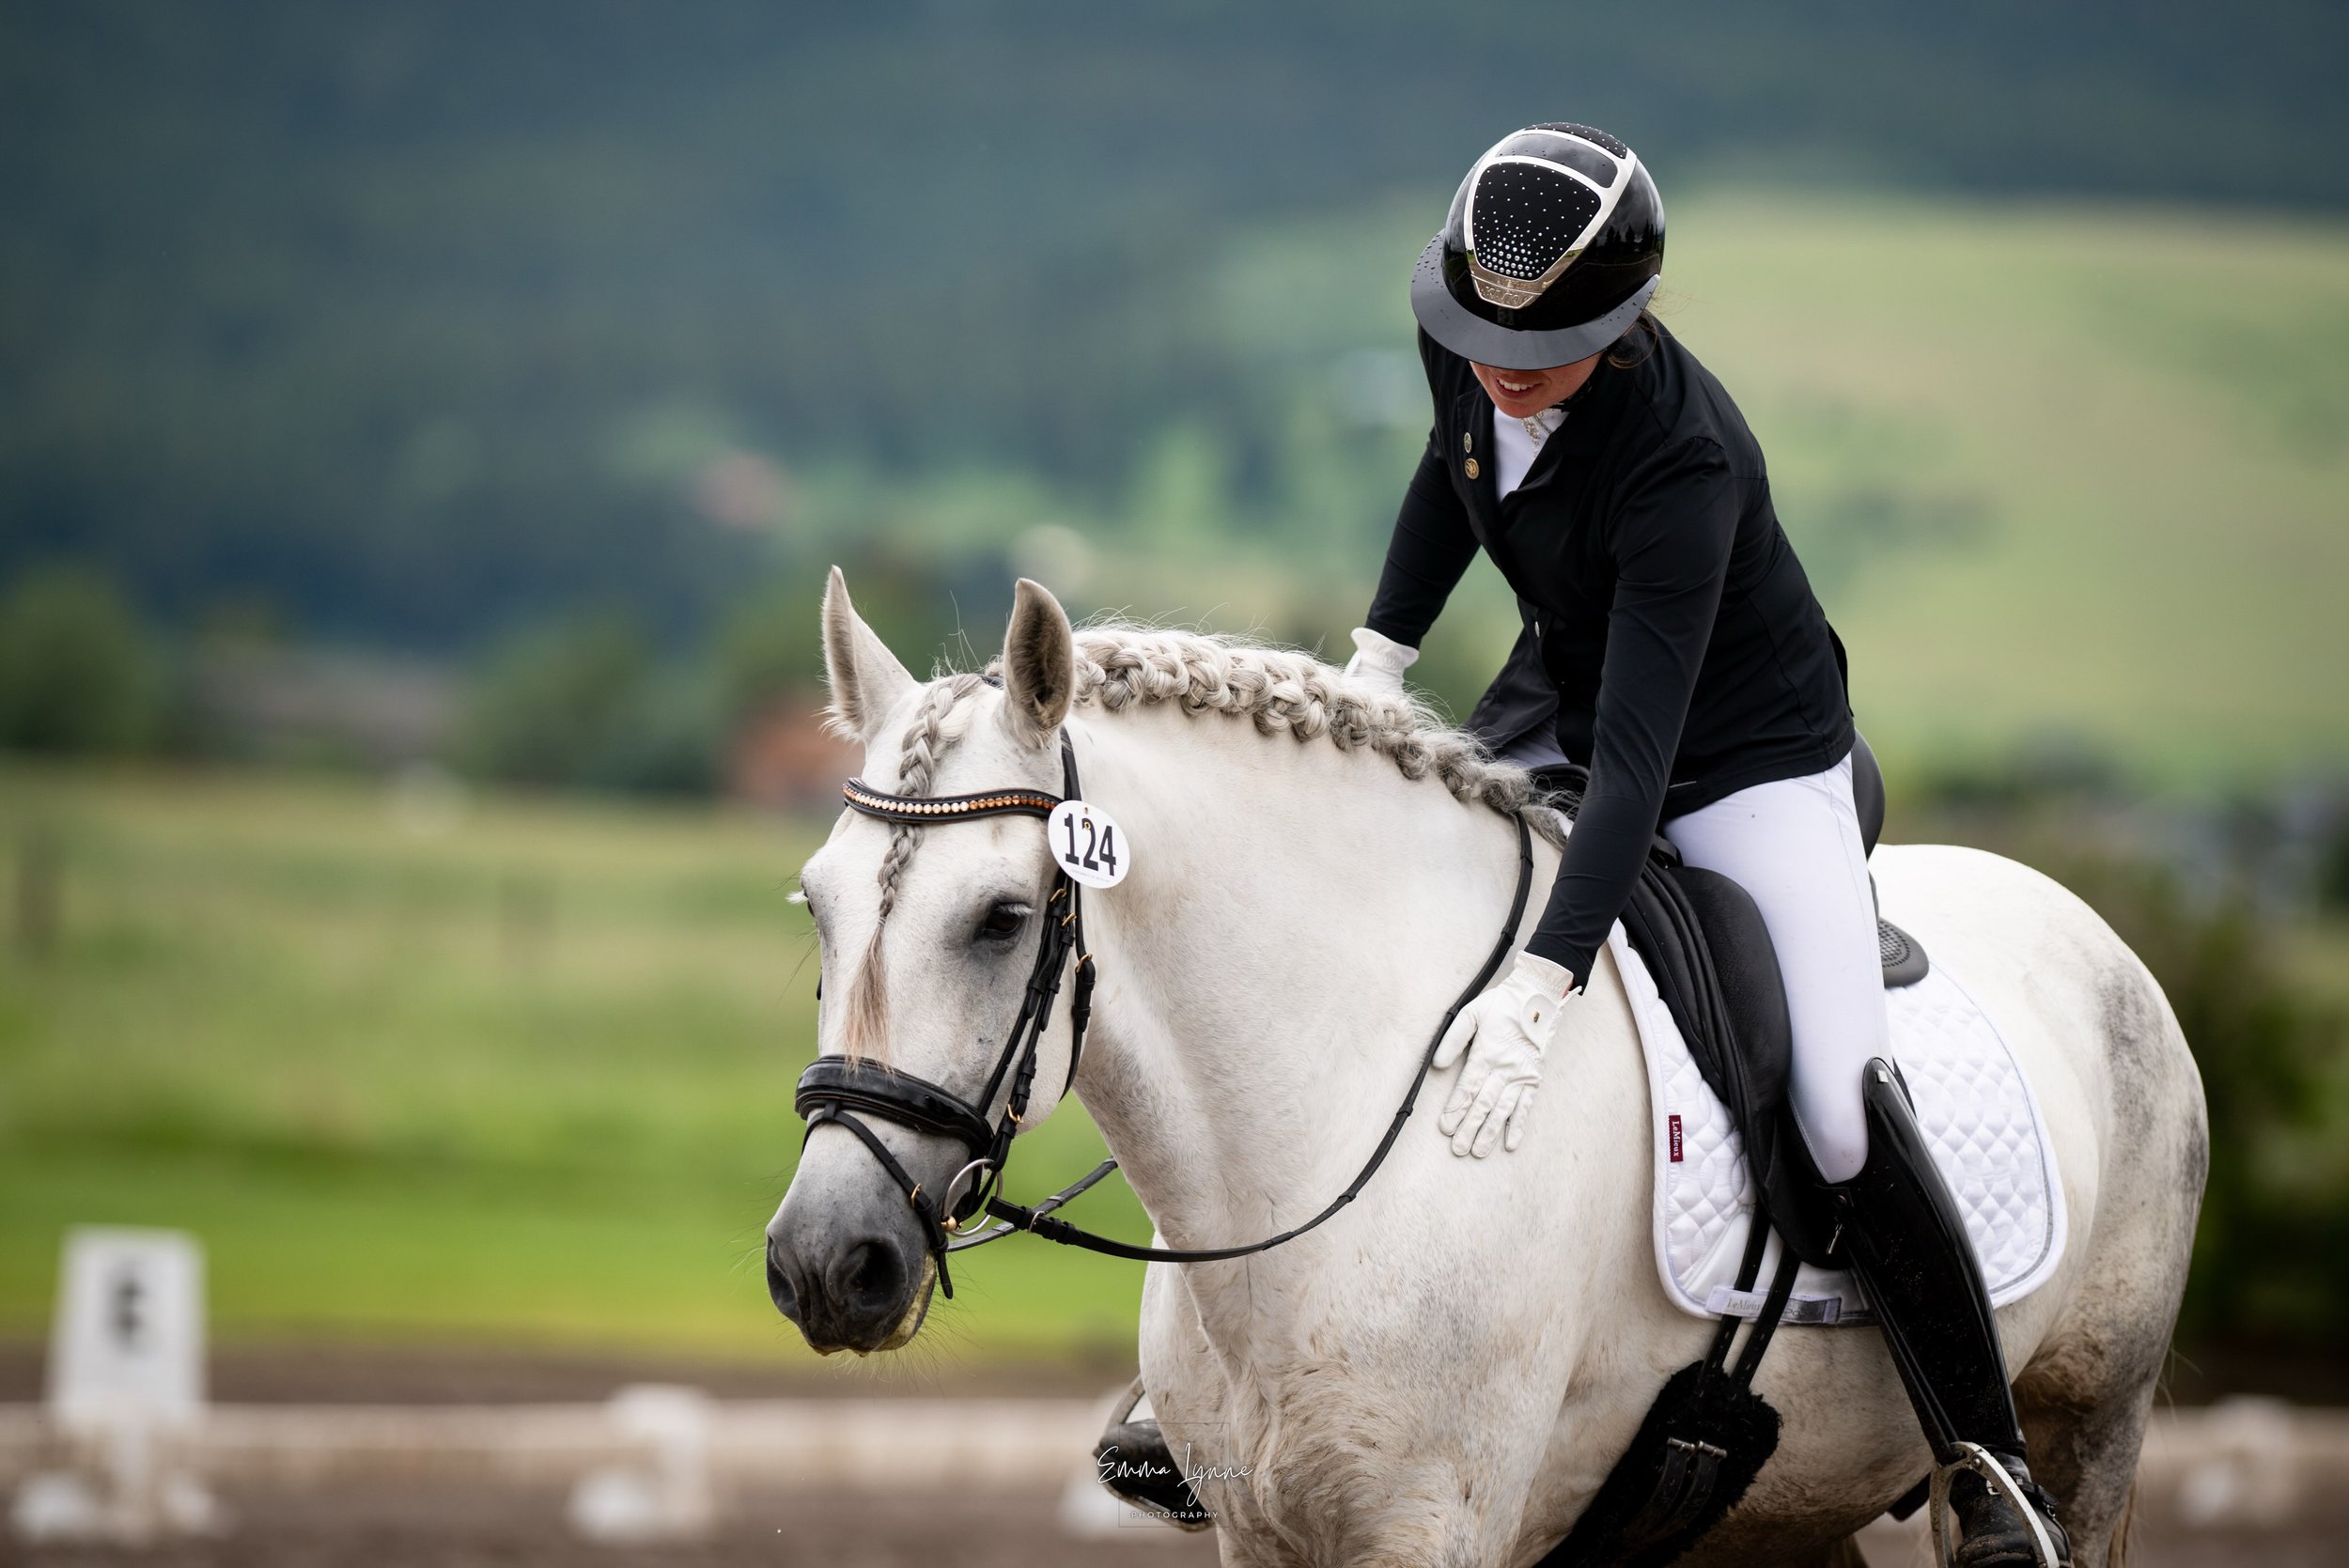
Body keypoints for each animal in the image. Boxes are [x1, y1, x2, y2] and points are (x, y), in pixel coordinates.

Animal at [765, 569, 2207, 1568]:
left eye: (1002, 916)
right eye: (814, 906)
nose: (826, 1263)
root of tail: (2093, 933)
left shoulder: (1434, 1525)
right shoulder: (1258, 1533)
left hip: (2089, 1424)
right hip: (1778, 1508)